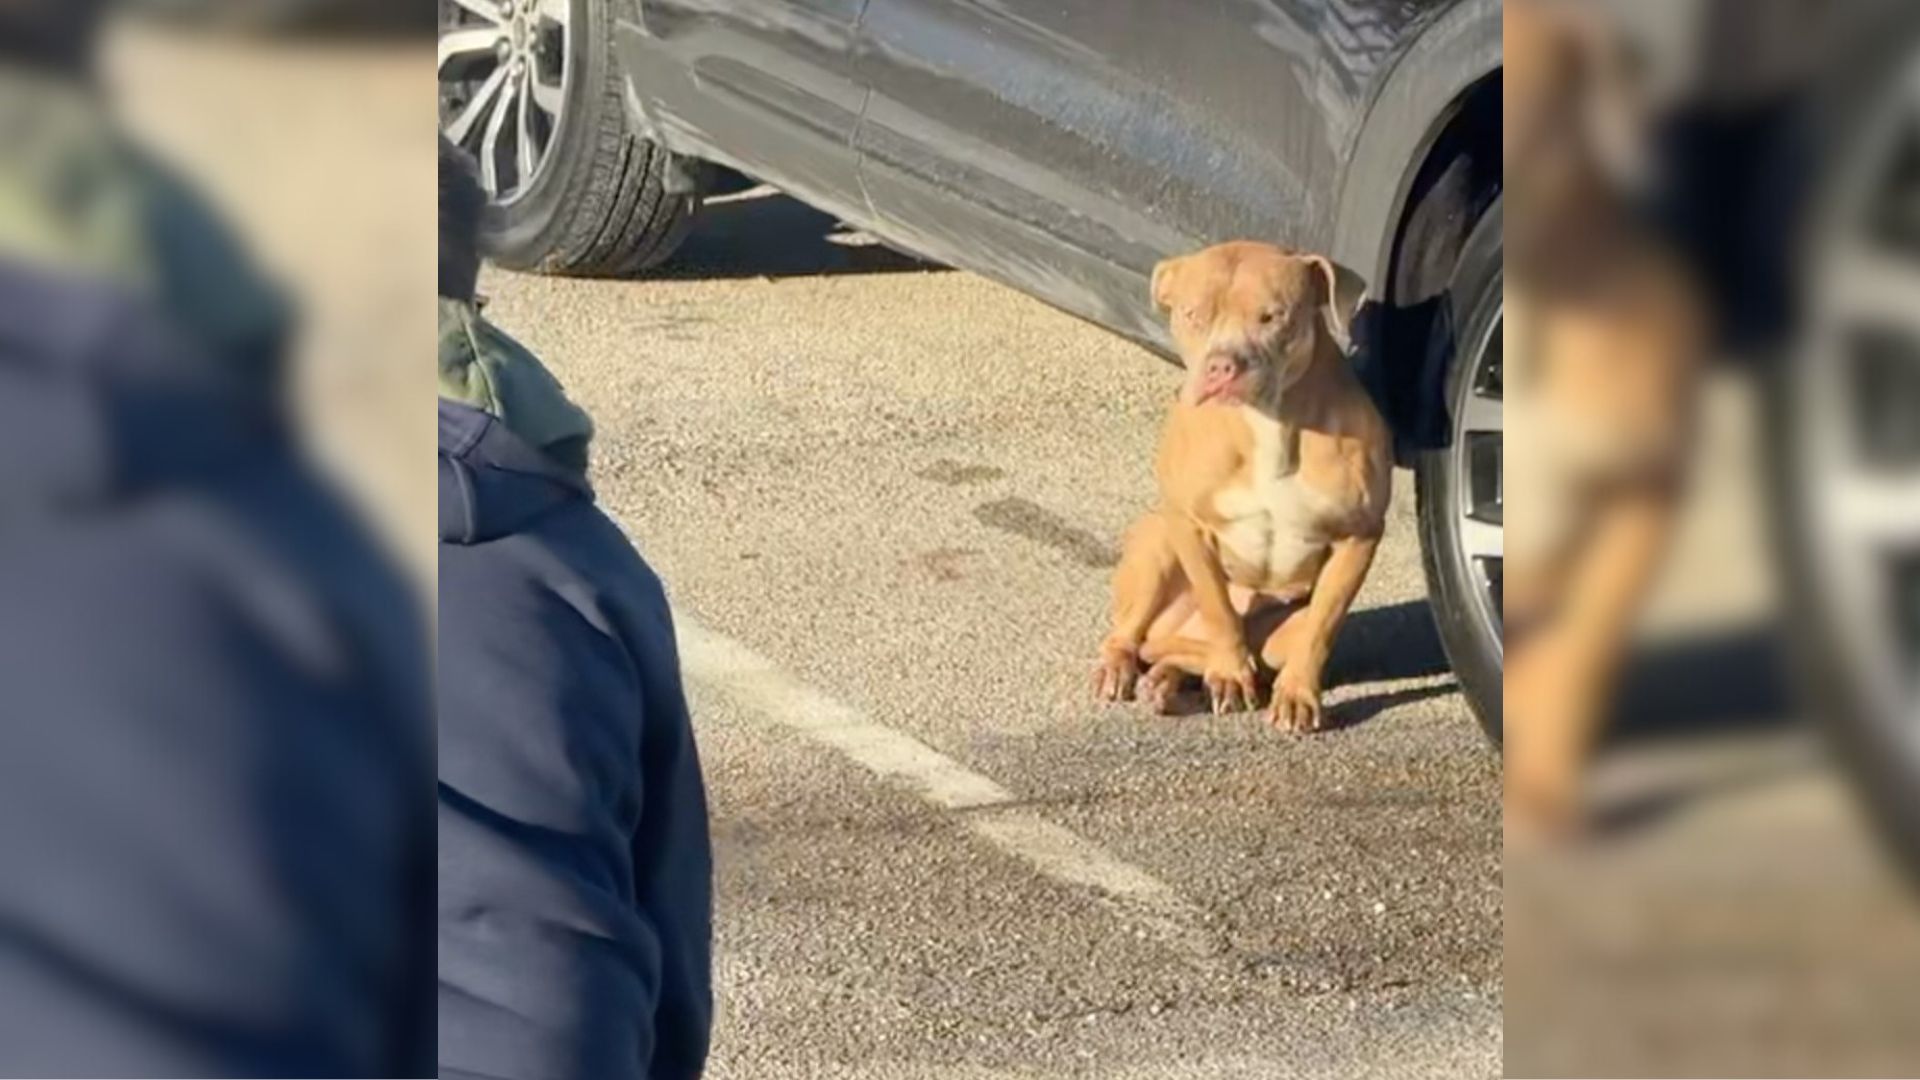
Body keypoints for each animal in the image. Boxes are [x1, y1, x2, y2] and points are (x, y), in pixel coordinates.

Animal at [1098, 242, 1382, 730]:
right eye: (1192, 314)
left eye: (1272, 316)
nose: (1222, 365)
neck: (1268, 420)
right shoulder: (1189, 524)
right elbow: (1218, 608)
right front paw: (1230, 673)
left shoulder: (1359, 535)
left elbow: (1321, 627)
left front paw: (1297, 695)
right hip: (1156, 546)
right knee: (1134, 634)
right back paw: (1126, 668)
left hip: (1276, 632)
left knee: (1212, 653)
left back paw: (1168, 684)